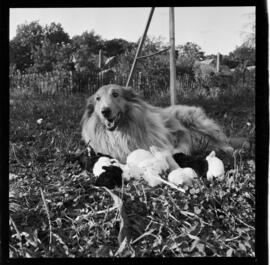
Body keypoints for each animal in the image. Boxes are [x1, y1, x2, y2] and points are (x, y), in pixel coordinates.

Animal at [81, 84, 233, 163]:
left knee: (221, 139)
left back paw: (229, 149)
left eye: (115, 94)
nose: (104, 111)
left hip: (194, 121)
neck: (120, 132)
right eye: (98, 99)